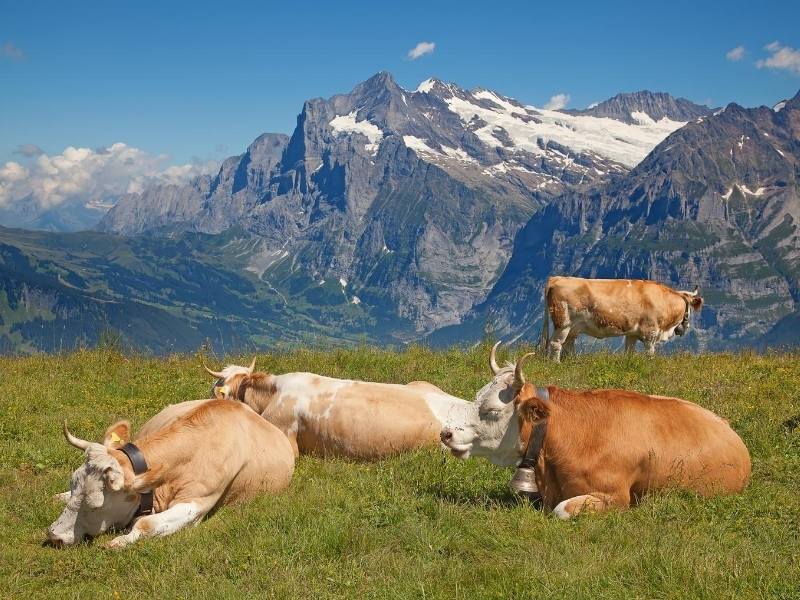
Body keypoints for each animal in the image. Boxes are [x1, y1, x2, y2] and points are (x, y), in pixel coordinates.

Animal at [47, 399, 294, 548]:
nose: (54, 536)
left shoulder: (196, 503)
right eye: (73, 484)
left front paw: (121, 541)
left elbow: (145, 524)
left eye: (95, 506)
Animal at [540, 276, 704, 361]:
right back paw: (556, 363)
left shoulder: (632, 334)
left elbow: (629, 352)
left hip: (573, 327)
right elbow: (650, 353)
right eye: (689, 309)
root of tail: (557, 278)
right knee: (556, 343)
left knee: (568, 344)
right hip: (563, 323)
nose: (685, 328)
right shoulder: (650, 332)